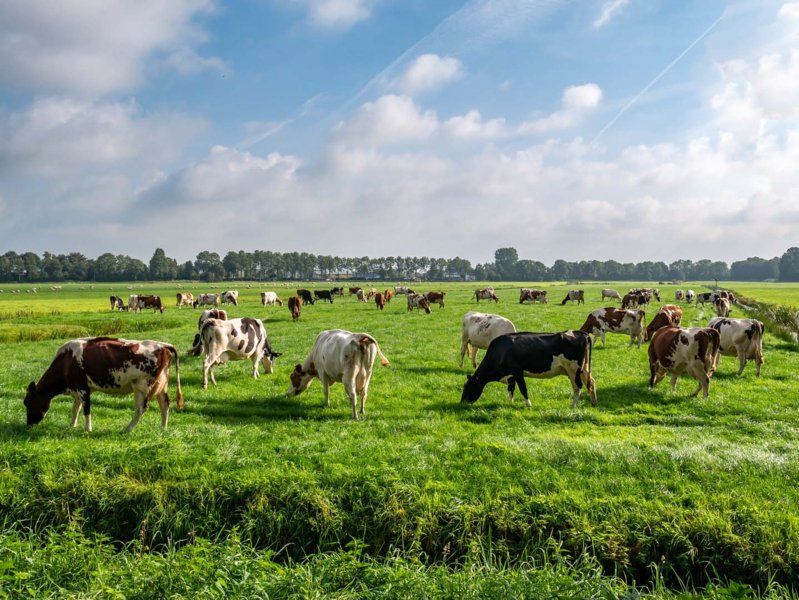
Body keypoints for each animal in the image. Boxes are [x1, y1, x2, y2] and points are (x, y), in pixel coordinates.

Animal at [24, 337, 183, 432]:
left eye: (28, 402)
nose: (28, 424)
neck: (67, 361)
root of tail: (163, 345)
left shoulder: (83, 389)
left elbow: (86, 409)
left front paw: (88, 429)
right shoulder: (78, 389)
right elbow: (75, 409)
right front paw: (72, 425)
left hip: (142, 386)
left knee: (141, 408)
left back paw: (127, 429)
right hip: (161, 385)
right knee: (165, 404)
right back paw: (163, 428)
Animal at [461, 331, 597, 409]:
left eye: (468, 387)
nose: (462, 402)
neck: (501, 351)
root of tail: (580, 333)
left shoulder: (517, 371)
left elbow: (523, 389)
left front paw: (528, 405)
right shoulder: (511, 375)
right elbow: (511, 389)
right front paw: (509, 403)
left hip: (573, 370)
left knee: (578, 387)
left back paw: (573, 406)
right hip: (583, 368)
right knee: (591, 382)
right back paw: (593, 402)